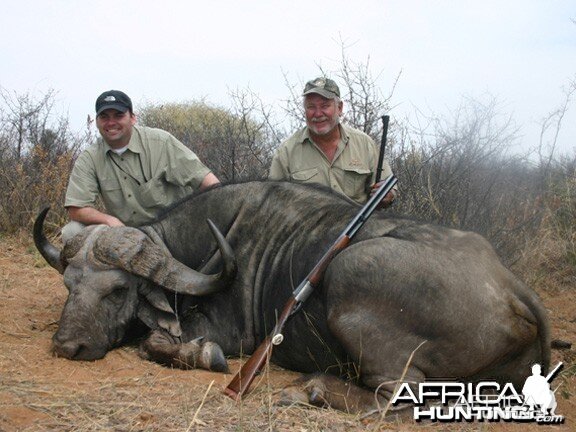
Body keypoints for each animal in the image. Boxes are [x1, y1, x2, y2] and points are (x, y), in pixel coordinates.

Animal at [33, 181, 552, 414]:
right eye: (69, 286)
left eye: (118, 289)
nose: (68, 346)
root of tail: (511, 287)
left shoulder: (231, 335)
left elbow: (156, 342)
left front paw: (204, 356)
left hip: (349, 271)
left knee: (401, 397)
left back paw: (312, 389)